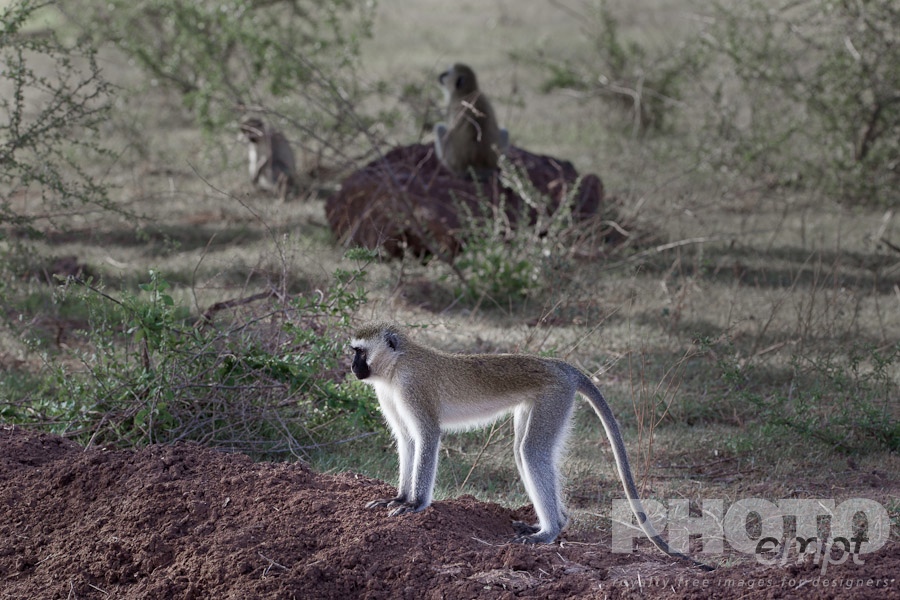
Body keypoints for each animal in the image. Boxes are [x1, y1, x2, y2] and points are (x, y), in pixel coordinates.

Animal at [349, 322, 714, 571]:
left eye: (359, 352)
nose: (352, 368)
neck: (396, 365)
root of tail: (561, 366)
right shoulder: (389, 393)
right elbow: (407, 439)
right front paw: (398, 498)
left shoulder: (412, 386)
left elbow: (426, 436)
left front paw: (415, 505)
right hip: (539, 402)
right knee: (523, 451)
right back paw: (554, 523)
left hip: (554, 396)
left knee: (531, 452)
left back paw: (549, 532)